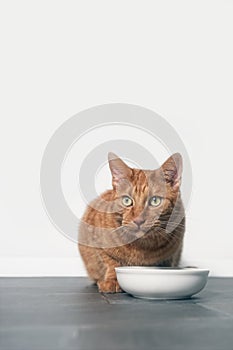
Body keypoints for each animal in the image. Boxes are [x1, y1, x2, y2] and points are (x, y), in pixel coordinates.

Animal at [78, 153, 184, 292]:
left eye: (155, 201)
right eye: (127, 200)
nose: (138, 220)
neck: (141, 246)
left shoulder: (173, 252)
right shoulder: (97, 243)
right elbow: (111, 263)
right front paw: (113, 280)